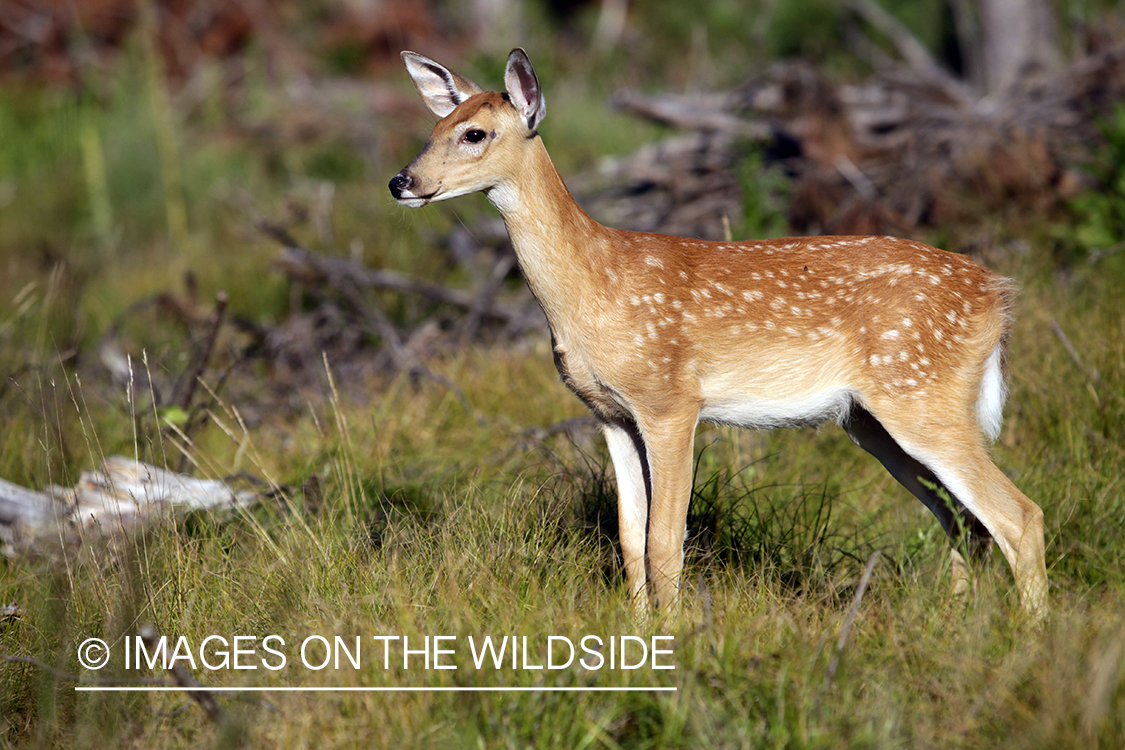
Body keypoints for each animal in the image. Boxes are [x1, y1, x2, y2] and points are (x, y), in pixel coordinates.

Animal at [389, 48, 1048, 620]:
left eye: (475, 134)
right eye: (437, 124)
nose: (402, 182)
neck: (594, 287)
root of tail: (995, 293)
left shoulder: (671, 401)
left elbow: (665, 541)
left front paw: (674, 635)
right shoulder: (610, 415)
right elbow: (629, 539)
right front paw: (638, 633)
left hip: (922, 393)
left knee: (1018, 515)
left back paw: (1031, 638)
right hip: (872, 419)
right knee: (961, 520)